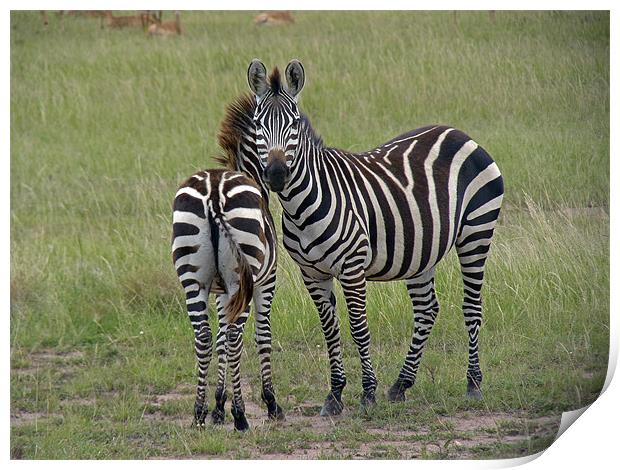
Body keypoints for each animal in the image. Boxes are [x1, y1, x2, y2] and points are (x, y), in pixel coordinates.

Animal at [171, 168, 284, 430]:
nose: (278, 180)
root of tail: (214, 190)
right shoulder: (265, 281)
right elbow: (263, 336)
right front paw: (271, 403)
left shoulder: (223, 293)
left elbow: (220, 338)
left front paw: (218, 407)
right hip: (243, 275)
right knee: (234, 337)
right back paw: (241, 416)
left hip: (194, 278)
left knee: (203, 336)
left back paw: (198, 414)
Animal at [237, 58, 504, 414]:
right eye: (258, 125)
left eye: (293, 124)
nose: (277, 175)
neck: (302, 205)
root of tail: (458, 133)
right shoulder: (312, 273)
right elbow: (331, 331)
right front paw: (335, 394)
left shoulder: (352, 268)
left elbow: (359, 328)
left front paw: (367, 392)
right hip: (422, 250)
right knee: (427, 310)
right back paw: (401, 384)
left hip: (476, 231)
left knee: (472, 306)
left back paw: (473, 383)